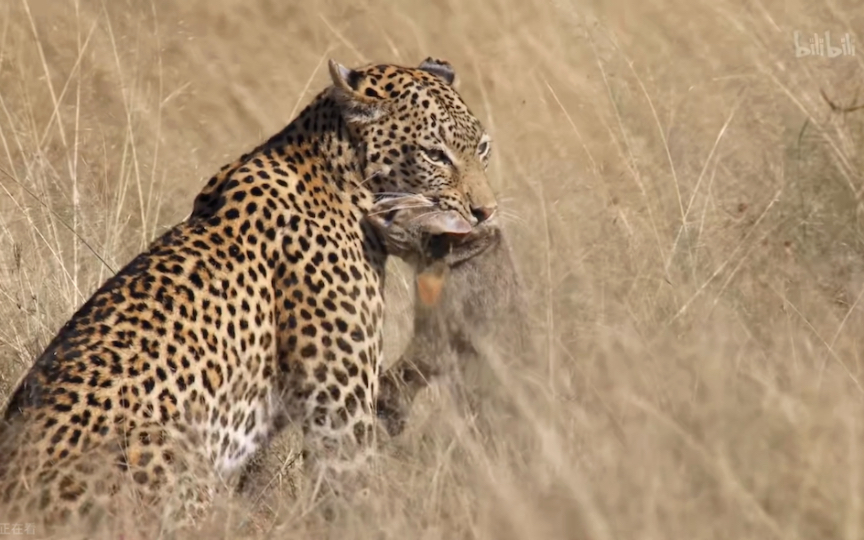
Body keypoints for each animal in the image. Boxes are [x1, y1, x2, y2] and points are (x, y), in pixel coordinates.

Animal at [0, 56, 496, 532]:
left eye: (483, 148)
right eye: (435, 155)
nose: (485, 211)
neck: (343, 179)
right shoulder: (340, 410)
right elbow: (356, 494)